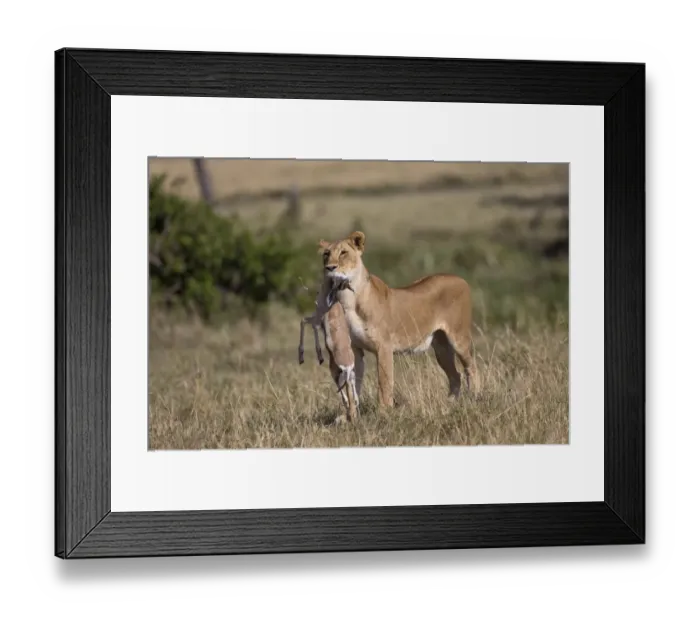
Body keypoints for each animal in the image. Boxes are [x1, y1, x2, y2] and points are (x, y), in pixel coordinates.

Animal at [318, 230, 477, 409]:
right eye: (326, 254)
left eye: (343, 253)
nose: (330, 268)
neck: (348, 300)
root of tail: (461, 279)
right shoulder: (354, 349)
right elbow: (353, 386)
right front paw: (351, 412)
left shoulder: (384, 347)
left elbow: (384, 383)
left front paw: (384, 411)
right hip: (441, 347)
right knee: (455, 375)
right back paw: (449, 403)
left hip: (459, 338)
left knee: (471, 368)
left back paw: (476, 397)